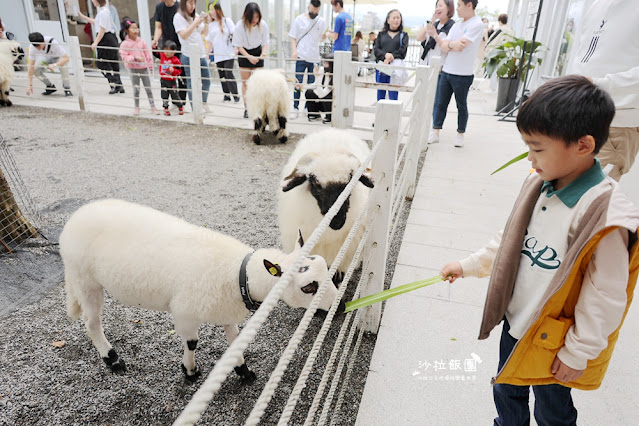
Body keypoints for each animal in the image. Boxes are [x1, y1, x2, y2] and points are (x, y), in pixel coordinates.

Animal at [58, 199, 340, 382]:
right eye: (308, 286)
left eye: (326, 267)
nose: (340, 307)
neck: (239, 275)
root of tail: (74, 218)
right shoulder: (184, 313)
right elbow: (192, 343)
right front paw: (190, 372)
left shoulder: (227, 311)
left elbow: (235, 342)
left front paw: (244, 372)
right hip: (85, 279)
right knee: (92, 324)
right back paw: (113, 359)